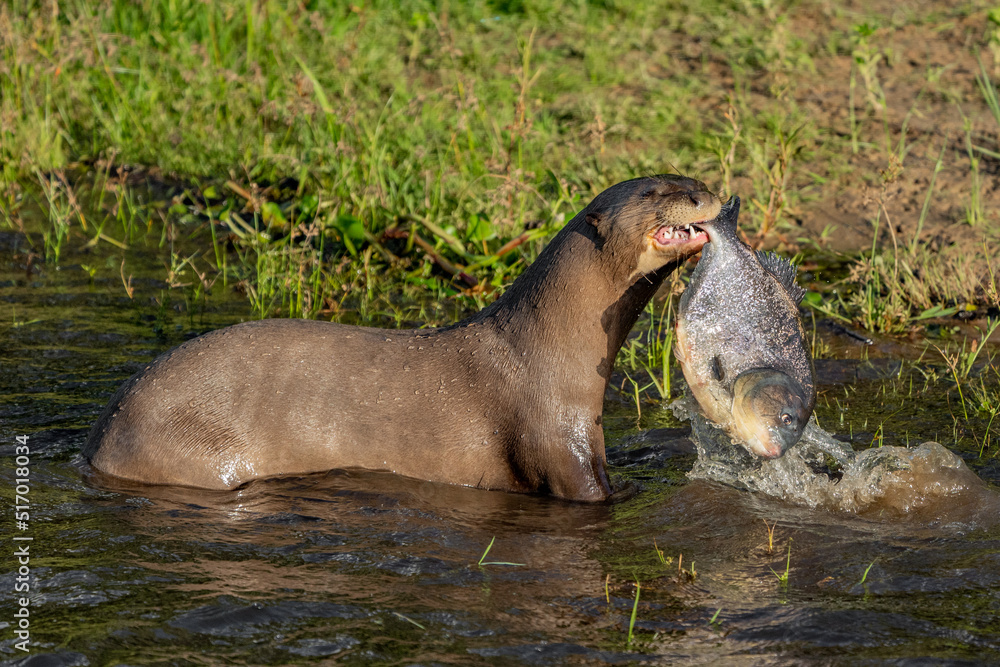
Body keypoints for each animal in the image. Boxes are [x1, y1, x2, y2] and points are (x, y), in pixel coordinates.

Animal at [83, 175, 722, 502]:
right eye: (654, 193)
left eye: (689, 179)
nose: (706, 192)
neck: (547, 348)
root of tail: (103, 436)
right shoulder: (555, 441)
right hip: (186, 448)